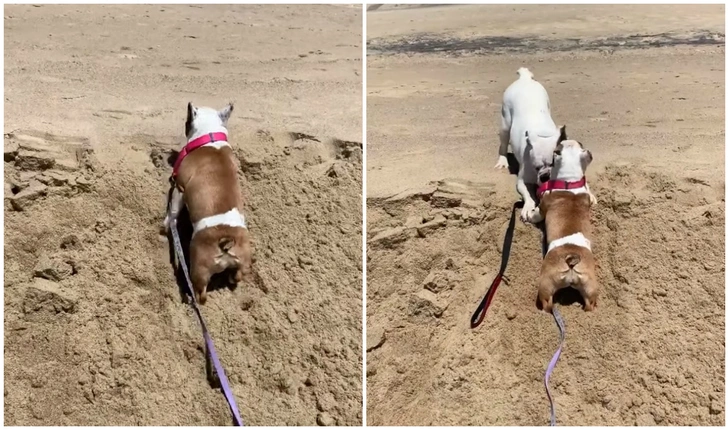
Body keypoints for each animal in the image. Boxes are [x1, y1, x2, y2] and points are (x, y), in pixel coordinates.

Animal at [164, 102, 255, 304]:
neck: (210, 137)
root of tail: (226, 241)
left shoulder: (179, 188)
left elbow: (173, 211)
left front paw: (166, 223)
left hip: (199, 267)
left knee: (201, 293)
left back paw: (191, 297)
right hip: (242, 260)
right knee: (237, 276)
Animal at [498, 68, 564, 222]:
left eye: (555, 163)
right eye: (536, 167)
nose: (546, 176)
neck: (543, 136)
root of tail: (525, 78)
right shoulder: (523, 181)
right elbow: (529, 195)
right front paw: (528, 207)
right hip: (505, 124)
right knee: (503, 144)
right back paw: (502, 161)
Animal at [528, 139, 600, 310]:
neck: (569, 181)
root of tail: (572, 259)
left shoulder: (542, 207)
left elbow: (536, 213)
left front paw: (528, 215)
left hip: (546, 284)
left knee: (547, 303)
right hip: (590, 287)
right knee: (590, 304)